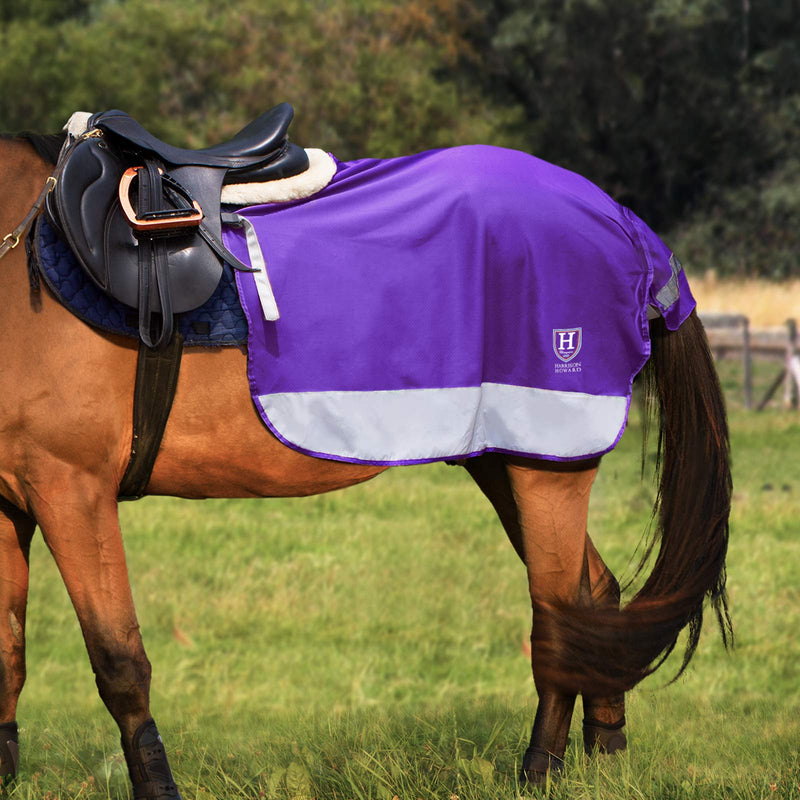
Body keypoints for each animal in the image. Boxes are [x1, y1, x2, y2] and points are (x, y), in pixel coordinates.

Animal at [0, 130, 731, 799]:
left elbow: (118, 660)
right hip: (508, 459)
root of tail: (623, 222)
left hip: (545, 463)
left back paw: (539, 770)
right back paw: (605, 750)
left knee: (558, 611)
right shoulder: (12, 505)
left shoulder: (72, 489)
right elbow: (9, 656)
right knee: (596, 596)